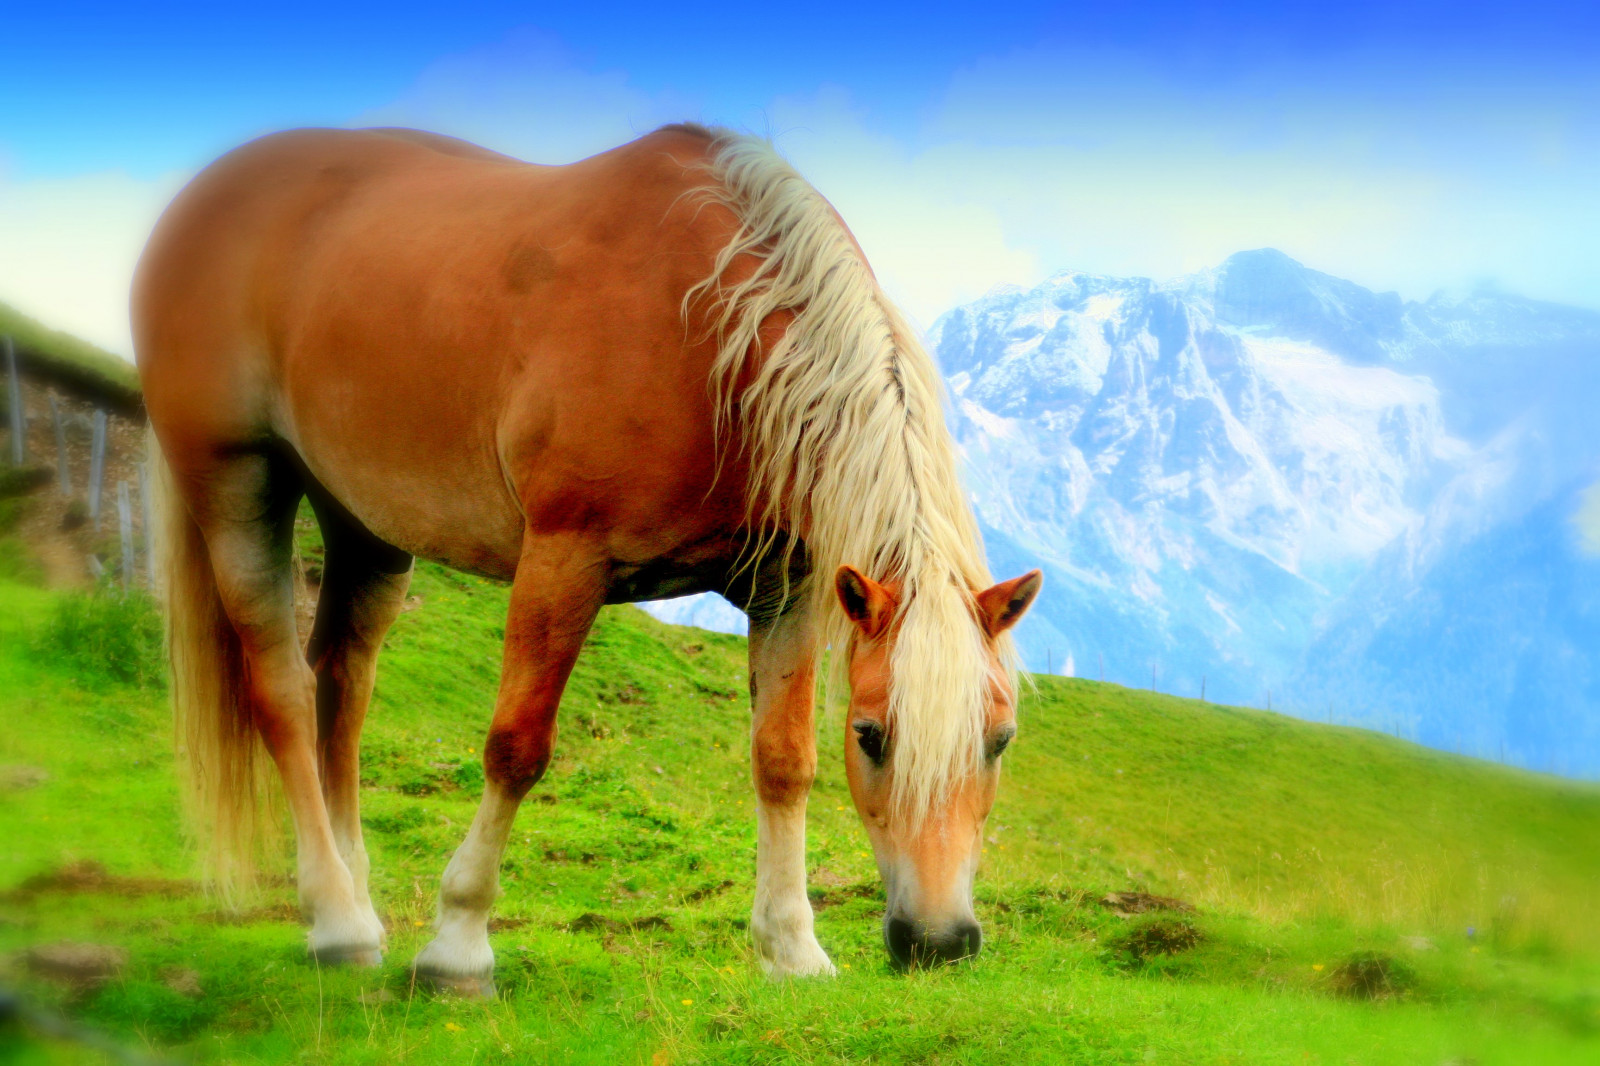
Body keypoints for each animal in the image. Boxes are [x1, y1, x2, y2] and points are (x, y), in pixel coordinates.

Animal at [134, 123, 1041, 993]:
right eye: (871, 735)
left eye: (999, 740)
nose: (939, 942)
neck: (706, 338)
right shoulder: (563, 560)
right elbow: (517, 745)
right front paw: (458, 946)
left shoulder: (788, 585)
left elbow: (783, 762)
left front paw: (792, 950)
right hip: (236, 483)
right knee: (283, 690)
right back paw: (336, 922)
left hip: (365, 527)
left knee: (341, 688)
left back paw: (357, 900)